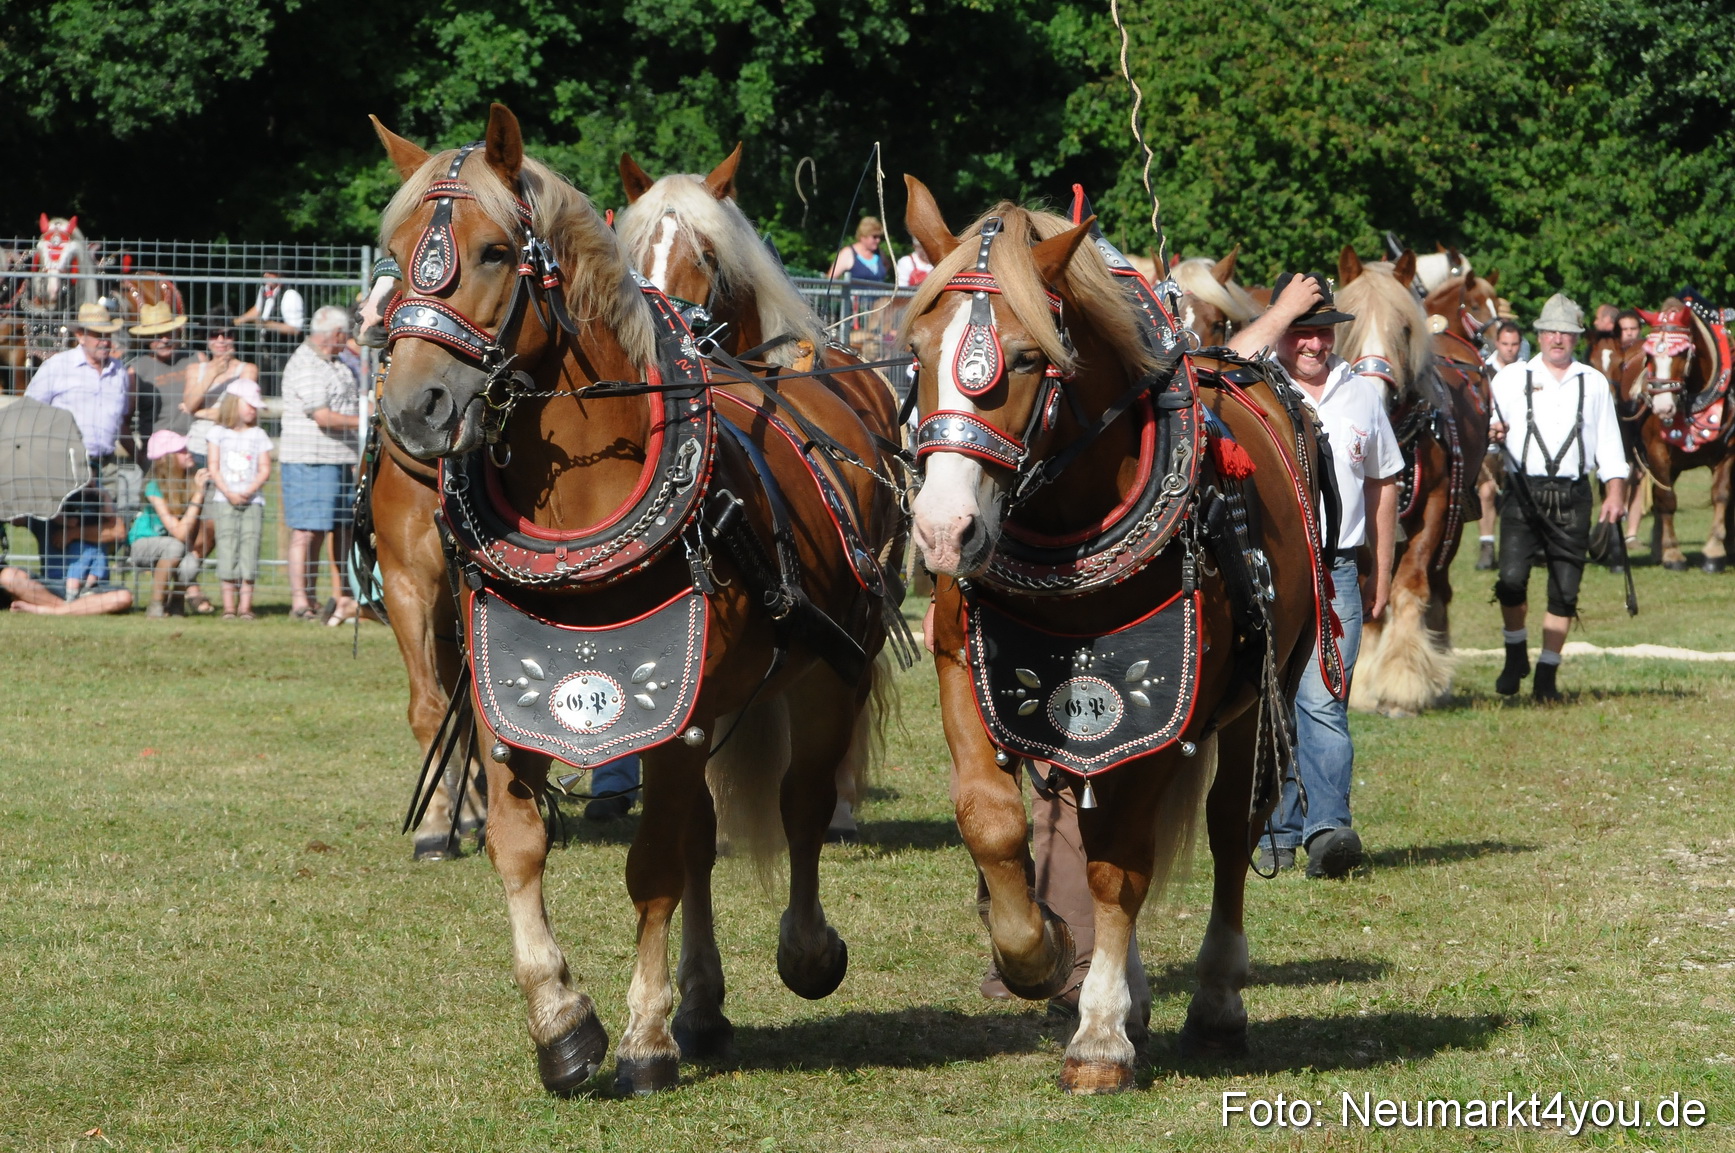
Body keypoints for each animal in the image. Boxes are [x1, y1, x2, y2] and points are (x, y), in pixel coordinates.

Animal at [372, 104, 905, 1095]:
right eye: (392, 255)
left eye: (495, 252)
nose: (413, 409)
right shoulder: (511, 693)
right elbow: (523, 845)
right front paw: (563, 1022)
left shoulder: (677, 712)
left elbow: (653, 863)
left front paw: (645, 1036)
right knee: (703, 831)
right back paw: (702, 1002)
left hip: (828, 667)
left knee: (803, 802)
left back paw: (803, 951)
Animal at [901, 179, 1338, 1092]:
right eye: (918, 348)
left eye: (1025, 359)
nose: (942, 531)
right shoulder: (972, 666)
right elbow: (990, 819)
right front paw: (1036, 952)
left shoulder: (1158, 702)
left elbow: (1118, 865)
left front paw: (1099, 1035)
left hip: (1257, 694)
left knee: (1228, 826)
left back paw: (1213, 1000)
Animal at [1333, 247, 1490, 716]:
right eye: (1346, 325)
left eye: (1403, 328)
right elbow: (1369, 590)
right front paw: (1363, 684)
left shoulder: (1437, 504)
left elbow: (1409, 585)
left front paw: (1402, 682)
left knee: (1439, 585)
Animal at [1632, 295, 1735, 572]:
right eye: (1649, 356)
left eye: (1682, 352)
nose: (1662, 408)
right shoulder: (1657, 452)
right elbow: (1667, 499)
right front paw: (1673, 554)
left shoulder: (1728, 452)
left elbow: (1721, 495)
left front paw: (1714, 552)